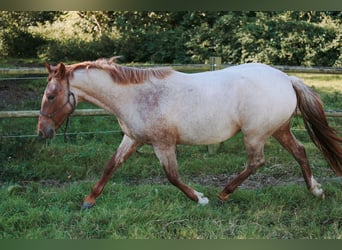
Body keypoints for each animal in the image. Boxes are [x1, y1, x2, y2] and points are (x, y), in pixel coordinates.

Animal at [38, 57, 342, 208]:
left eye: (51, 96)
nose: (42, 132)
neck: (137, 97)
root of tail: (286, 78)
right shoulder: (133, 139)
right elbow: (110, 166)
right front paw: (88, 202)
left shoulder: (163, 144)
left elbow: (172, 177)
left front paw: (201, 199)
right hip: (278, 129)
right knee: (300, 152)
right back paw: (315, 190)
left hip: (255, 134)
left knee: (256, 162)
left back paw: (223, 194)